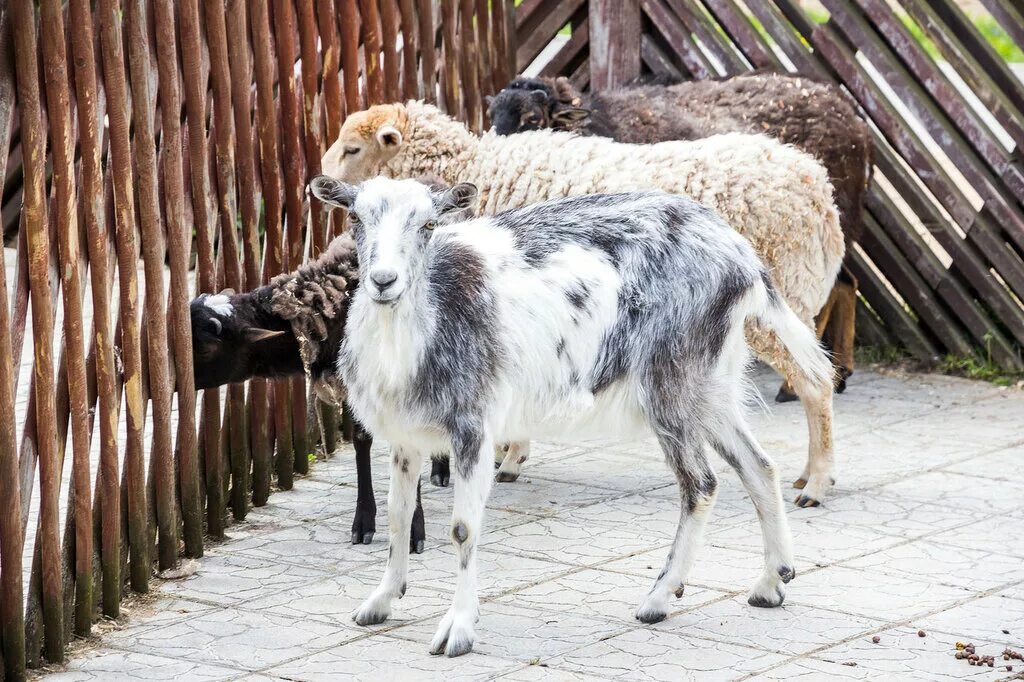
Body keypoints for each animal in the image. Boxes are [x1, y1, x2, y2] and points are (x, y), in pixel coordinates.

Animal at [309, 173, 831, 655]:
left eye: (429, 225)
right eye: (355, 218)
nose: (384, 281)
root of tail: (745, 257)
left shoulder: (473, 427)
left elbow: (462, 528)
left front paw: (456, 630)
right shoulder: (405, 435)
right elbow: (399, 515)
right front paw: (380, 602)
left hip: (673, 380)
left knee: (701, 484)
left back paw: (659, 598)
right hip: (711, 384)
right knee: (759, 466)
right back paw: (771, 582)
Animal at [323, 100, 843, 503]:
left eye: (354, 148)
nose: (319, 182)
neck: (472, 167)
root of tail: (817, 185)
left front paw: (509, 456)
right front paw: (513, 454)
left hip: (776, 303)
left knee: (816, 380)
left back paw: (817, 482)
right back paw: (810, 474)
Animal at [487, 71, 872, 395]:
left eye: (533, 119)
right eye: (491, 116)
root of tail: (844, 105)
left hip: (822, 233)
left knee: (829, 292)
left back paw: (802, 382)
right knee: (845, 284)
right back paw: (840, 372)